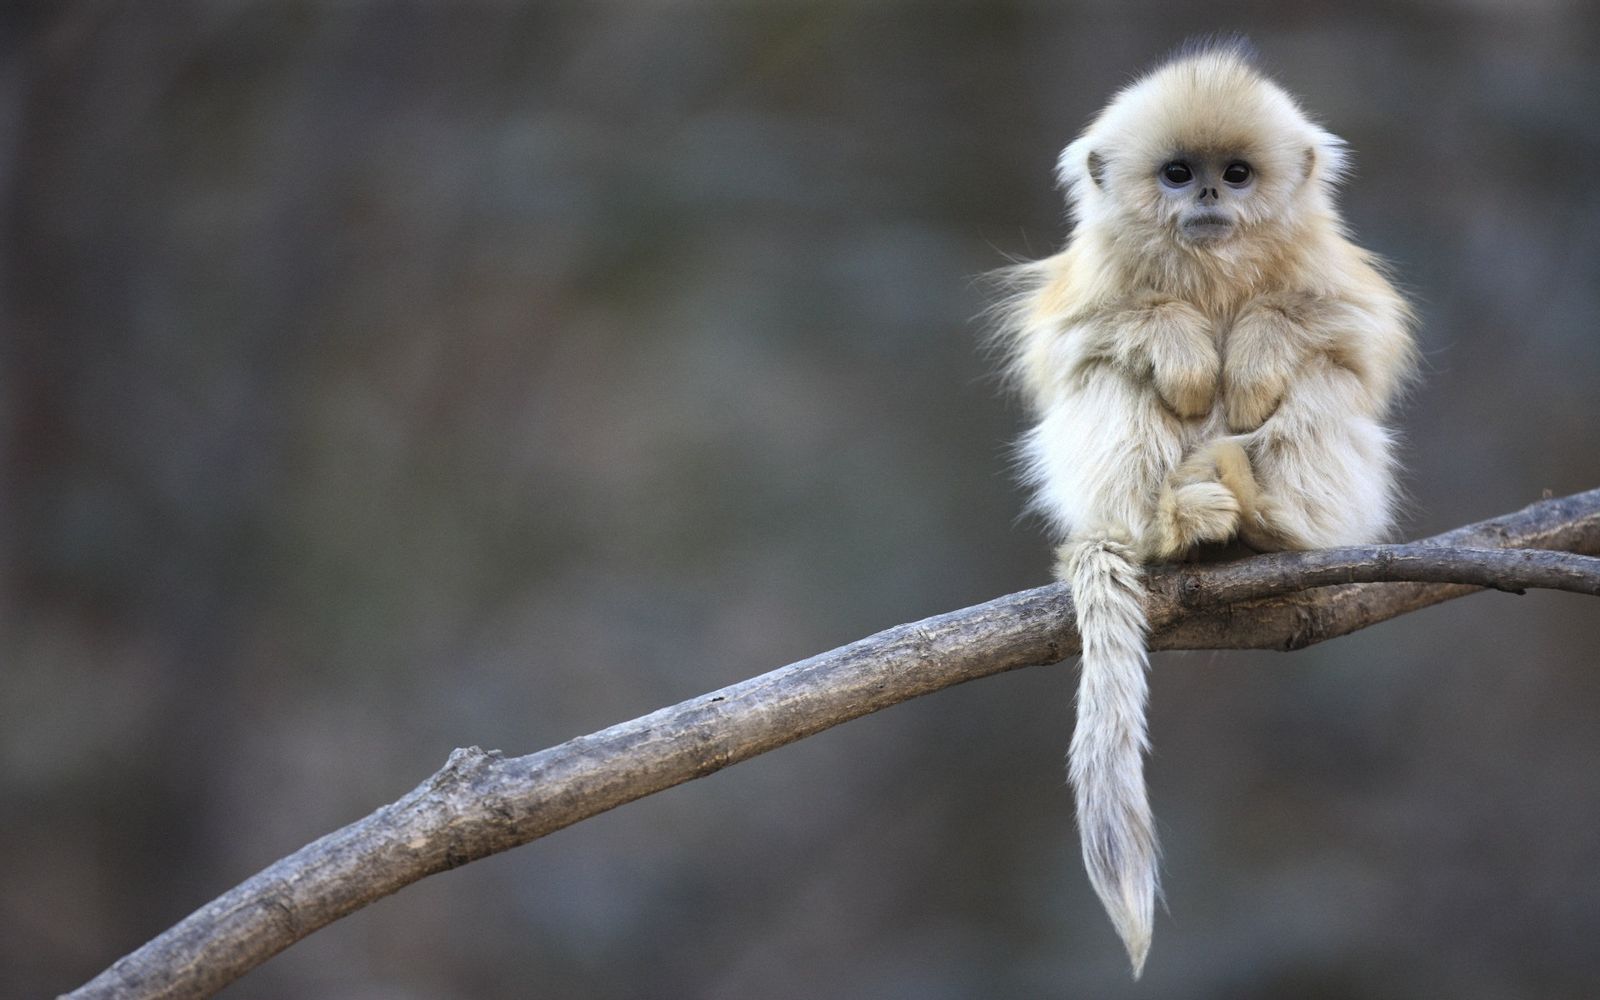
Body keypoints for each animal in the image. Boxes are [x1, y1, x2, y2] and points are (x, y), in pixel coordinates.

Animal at [992, 41, 1420, 972]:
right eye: (1179, 174)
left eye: (1237, 173)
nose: (1211, 200)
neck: (1213, 269)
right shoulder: (1091, 285)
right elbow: (1077, 345)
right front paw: (1184, 350)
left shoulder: (1330, 273)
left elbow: (1352, 338)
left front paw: (1254, 352)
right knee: (1110, 379)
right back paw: (1170, 528)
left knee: (1323, 380)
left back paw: (1270, 524)